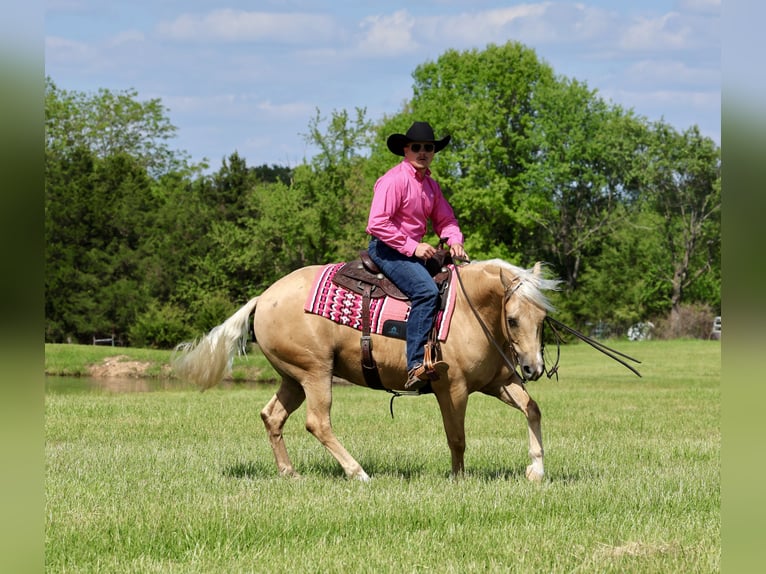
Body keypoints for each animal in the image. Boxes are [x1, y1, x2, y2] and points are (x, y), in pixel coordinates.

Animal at [173, 258, 561, 482]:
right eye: (513, 319)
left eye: (543, 318)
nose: (533, 367)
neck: (468, 310)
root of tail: (264, 297)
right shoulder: (452, 388)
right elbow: (457, 437)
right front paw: (458, 479)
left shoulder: (498, 382)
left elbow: (532, 409)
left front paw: (536, 469)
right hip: (316, 373)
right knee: (318, 423)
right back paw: (358, 473)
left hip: (293, 379)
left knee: (272, 416)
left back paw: (289, 473)